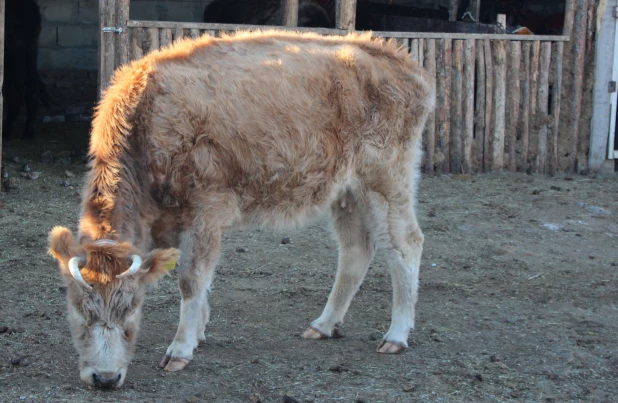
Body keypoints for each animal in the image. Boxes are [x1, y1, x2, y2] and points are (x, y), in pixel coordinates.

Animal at [2, 0, 50, 140]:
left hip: (15, 56)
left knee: (16, 91)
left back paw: (7, 132)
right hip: (30, 52)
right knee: (32, 85)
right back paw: (28, 131)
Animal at [47, 30, 434, 390]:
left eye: (131, 310)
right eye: (78, 311)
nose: (105, 378)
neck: (148, 120)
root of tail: (400, 63)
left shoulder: (205, 211)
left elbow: (191, 278)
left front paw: (180, 350)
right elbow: (198, 280)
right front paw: (199, 333)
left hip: (386, 182)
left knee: (406, 245)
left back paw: (396, 336)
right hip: (347, 194)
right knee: (355, 251)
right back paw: (323, 326)